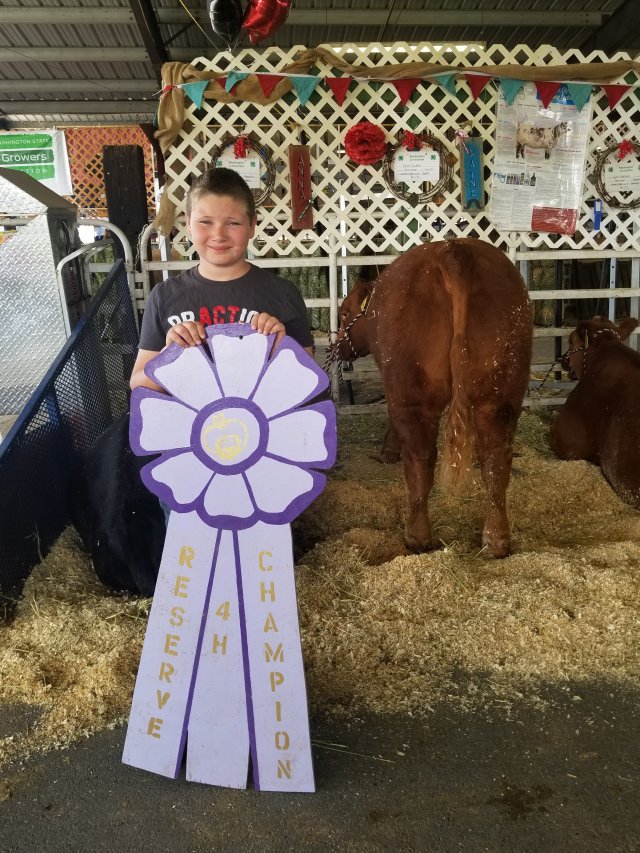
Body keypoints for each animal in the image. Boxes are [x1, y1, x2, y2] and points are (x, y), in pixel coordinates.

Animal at [328, 238, 533, 558]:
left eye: (346, 312)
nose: (337, 347)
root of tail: (453, 251)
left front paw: (388, 451)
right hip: (501, 393)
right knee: (496, 460)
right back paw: (496, 540)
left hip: (414, 392)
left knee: (420, 460)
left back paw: (417, 537)